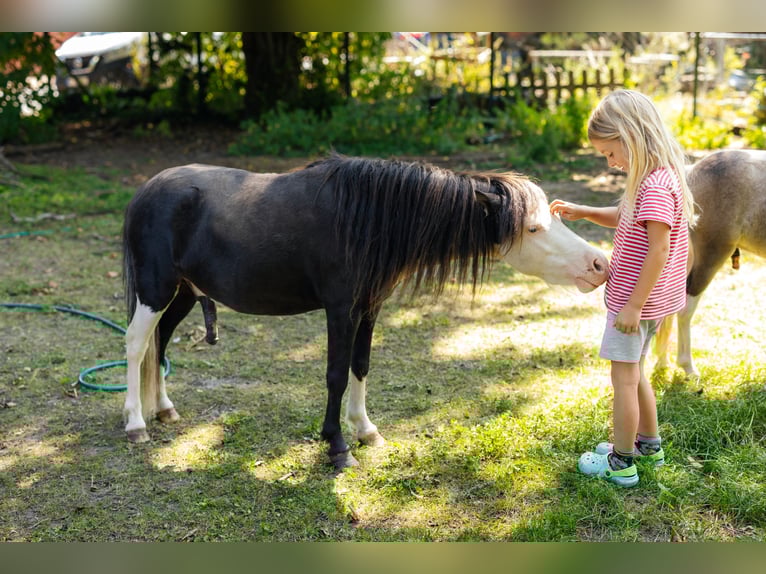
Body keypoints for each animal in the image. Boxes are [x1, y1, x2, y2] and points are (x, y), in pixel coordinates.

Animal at [122, 153, 609, 470]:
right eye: (533, 228)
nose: (598, 265)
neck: (366, 218)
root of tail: (146, 191)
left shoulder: (369, 308)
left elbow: (361, 365)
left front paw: (364, 430)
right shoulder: (341, 309)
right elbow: (336, 373)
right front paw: (337, 446)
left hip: (183, 293)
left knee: (160, 342)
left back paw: (163, 409)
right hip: (154, 290)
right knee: (135, 345)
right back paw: (135, 423)